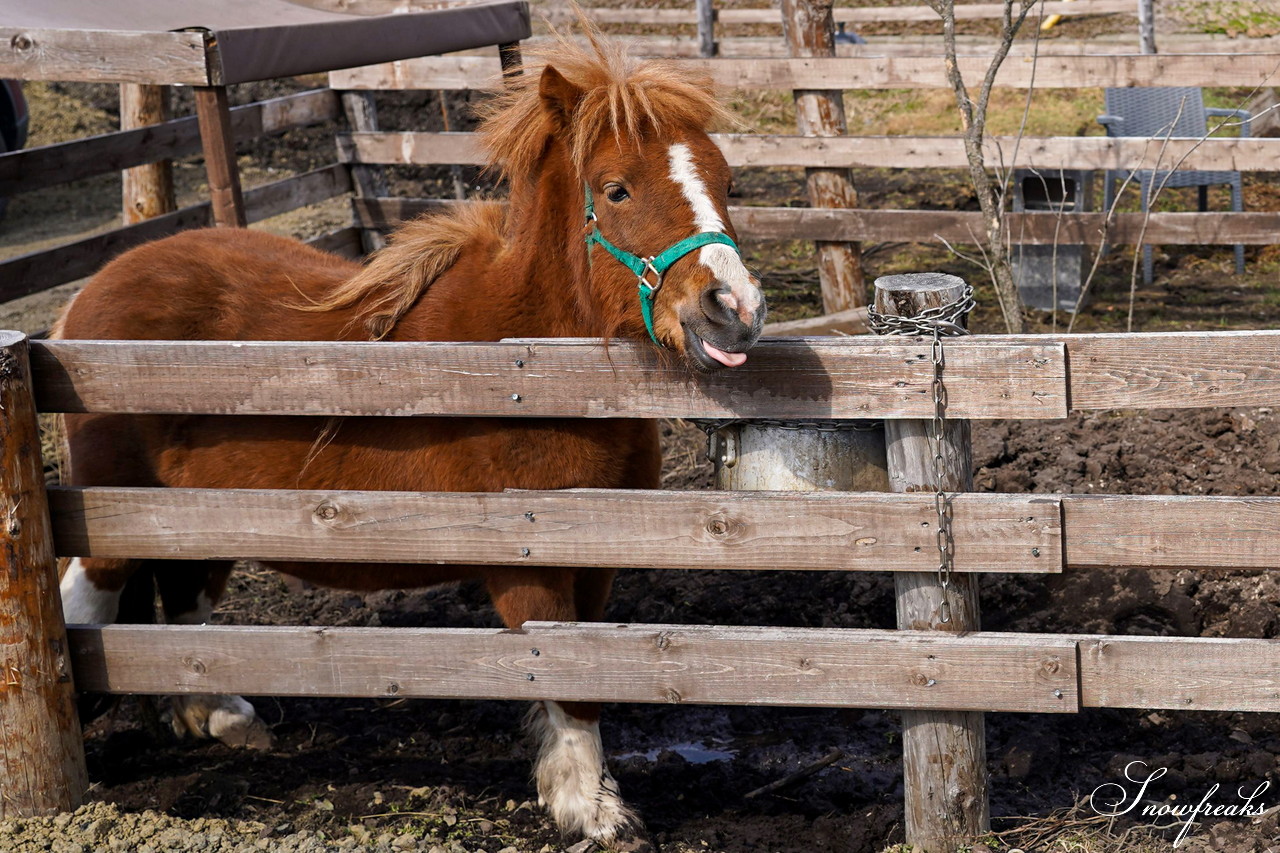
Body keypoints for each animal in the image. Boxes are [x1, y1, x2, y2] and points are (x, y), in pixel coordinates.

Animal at [55, 31, 762, 845]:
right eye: (615, 190)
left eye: (726, 179)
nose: (735, 308)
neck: (530, 366)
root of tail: (88, 296)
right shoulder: (528, 566)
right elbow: (563, 671)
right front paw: (589, 810)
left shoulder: (597, 559)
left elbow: (587, 667)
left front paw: (583, 798)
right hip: (115, 514)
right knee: (88, 599)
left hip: (198, 519)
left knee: (186, 609)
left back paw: (223, 714)